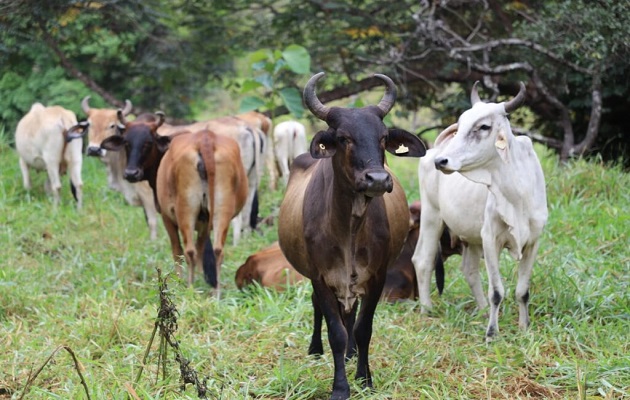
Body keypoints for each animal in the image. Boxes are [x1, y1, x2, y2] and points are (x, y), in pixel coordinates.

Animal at [81, 97, 160, 241]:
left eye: (112, 125)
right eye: (89, 124)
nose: (94, 149)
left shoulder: (148, 193)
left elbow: (152, 222)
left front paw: (154, 242)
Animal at [100, 111, 248, 294]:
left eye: (148, 142)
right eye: (126, 142)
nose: (131, 173)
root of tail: (205, 140)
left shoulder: (167, 217)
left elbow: (177, 251)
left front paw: (180, 280)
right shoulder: (204, 222)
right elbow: (201, 248)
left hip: (186, 210)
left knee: (189, 251)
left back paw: (189, 288)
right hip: (222, 211)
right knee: (217, 250)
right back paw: (216, 292)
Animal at [278, 72, 428, 400]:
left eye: (383, 137)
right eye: (344, 138)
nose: (378, 179)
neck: (349, 228)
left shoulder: (376, 277)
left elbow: (362, 328)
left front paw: (364, 378)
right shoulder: (320, 277)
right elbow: (335, 330)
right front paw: (340, 387)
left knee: (351, 315)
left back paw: (350, 354)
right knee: (319, 309)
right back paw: (316, 349)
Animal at [414, 81, 548, 340]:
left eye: (483, 126)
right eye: (461, 123)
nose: (441, 162)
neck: (517, 194)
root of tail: (433, 150)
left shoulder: (533, 241)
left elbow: (522, 291)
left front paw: (524, 327)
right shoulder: (490, 238)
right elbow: (496, 291)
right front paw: (492, 333)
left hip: (470, 237)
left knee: (469, 270)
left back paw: (483, 310)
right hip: (431, 216)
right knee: (422, 260)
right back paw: (427, 310)